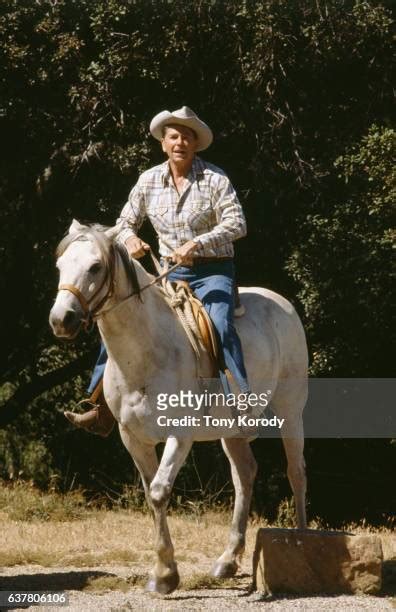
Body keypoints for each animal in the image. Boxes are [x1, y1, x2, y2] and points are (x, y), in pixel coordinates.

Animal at [50, 222, 310, 596]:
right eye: (60, 266)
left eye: (95, 267)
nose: (62, 319)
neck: (146, 353)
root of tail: (282, 304)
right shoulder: (133, 439)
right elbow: (150, 495)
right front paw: (163, 572)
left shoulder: (180, 435)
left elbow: (160, 492)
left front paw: (165, 575)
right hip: (231, 432)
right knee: (244, 475)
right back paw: (228, 560)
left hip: (291, 412)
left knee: (296, 471)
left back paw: (303, 543)